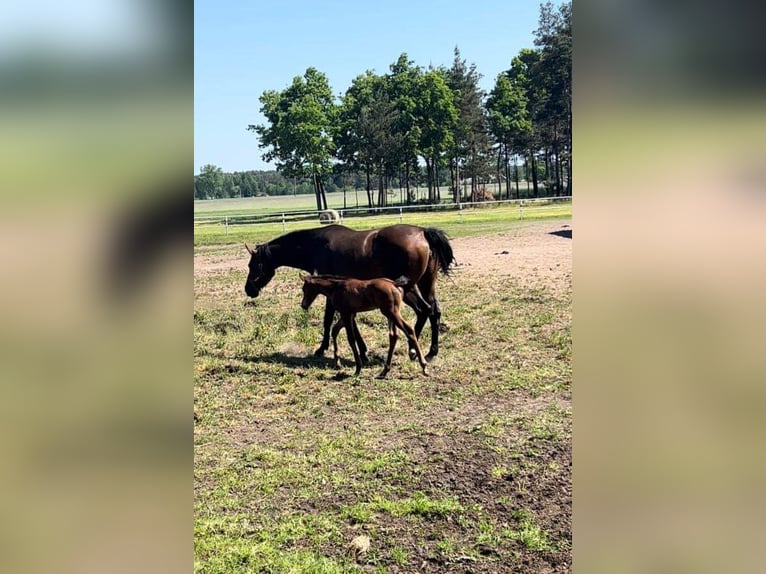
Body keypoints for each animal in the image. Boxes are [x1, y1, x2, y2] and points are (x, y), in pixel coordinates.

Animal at [244, 224, 456, 360]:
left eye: (253, 265)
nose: (248, 290)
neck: (314, 246)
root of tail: (422, 233)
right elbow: (349, 322)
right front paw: (362, 350)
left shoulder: (330, 291)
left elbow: (328, 320)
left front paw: (321, 349)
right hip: (425, 285)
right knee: (432, 311)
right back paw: (429, 352)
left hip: (410, 287)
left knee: (424, 310)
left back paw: (413, 350)